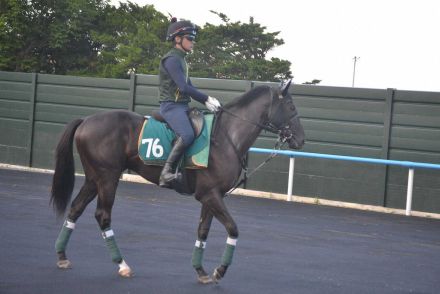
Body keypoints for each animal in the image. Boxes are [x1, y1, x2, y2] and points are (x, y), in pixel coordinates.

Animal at [49, 79, 304, 284]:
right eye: (291, 106)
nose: (301, 139)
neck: (227, 137)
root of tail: (86, 120)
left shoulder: (211, 196)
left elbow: (202, 231)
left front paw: (201, 271)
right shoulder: (210, 195)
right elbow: (233, 228)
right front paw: (220, 270)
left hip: (94, 179)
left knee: (76, 208)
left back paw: (62, 256)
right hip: (108, 178)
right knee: (102, 216)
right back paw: (122, 265)